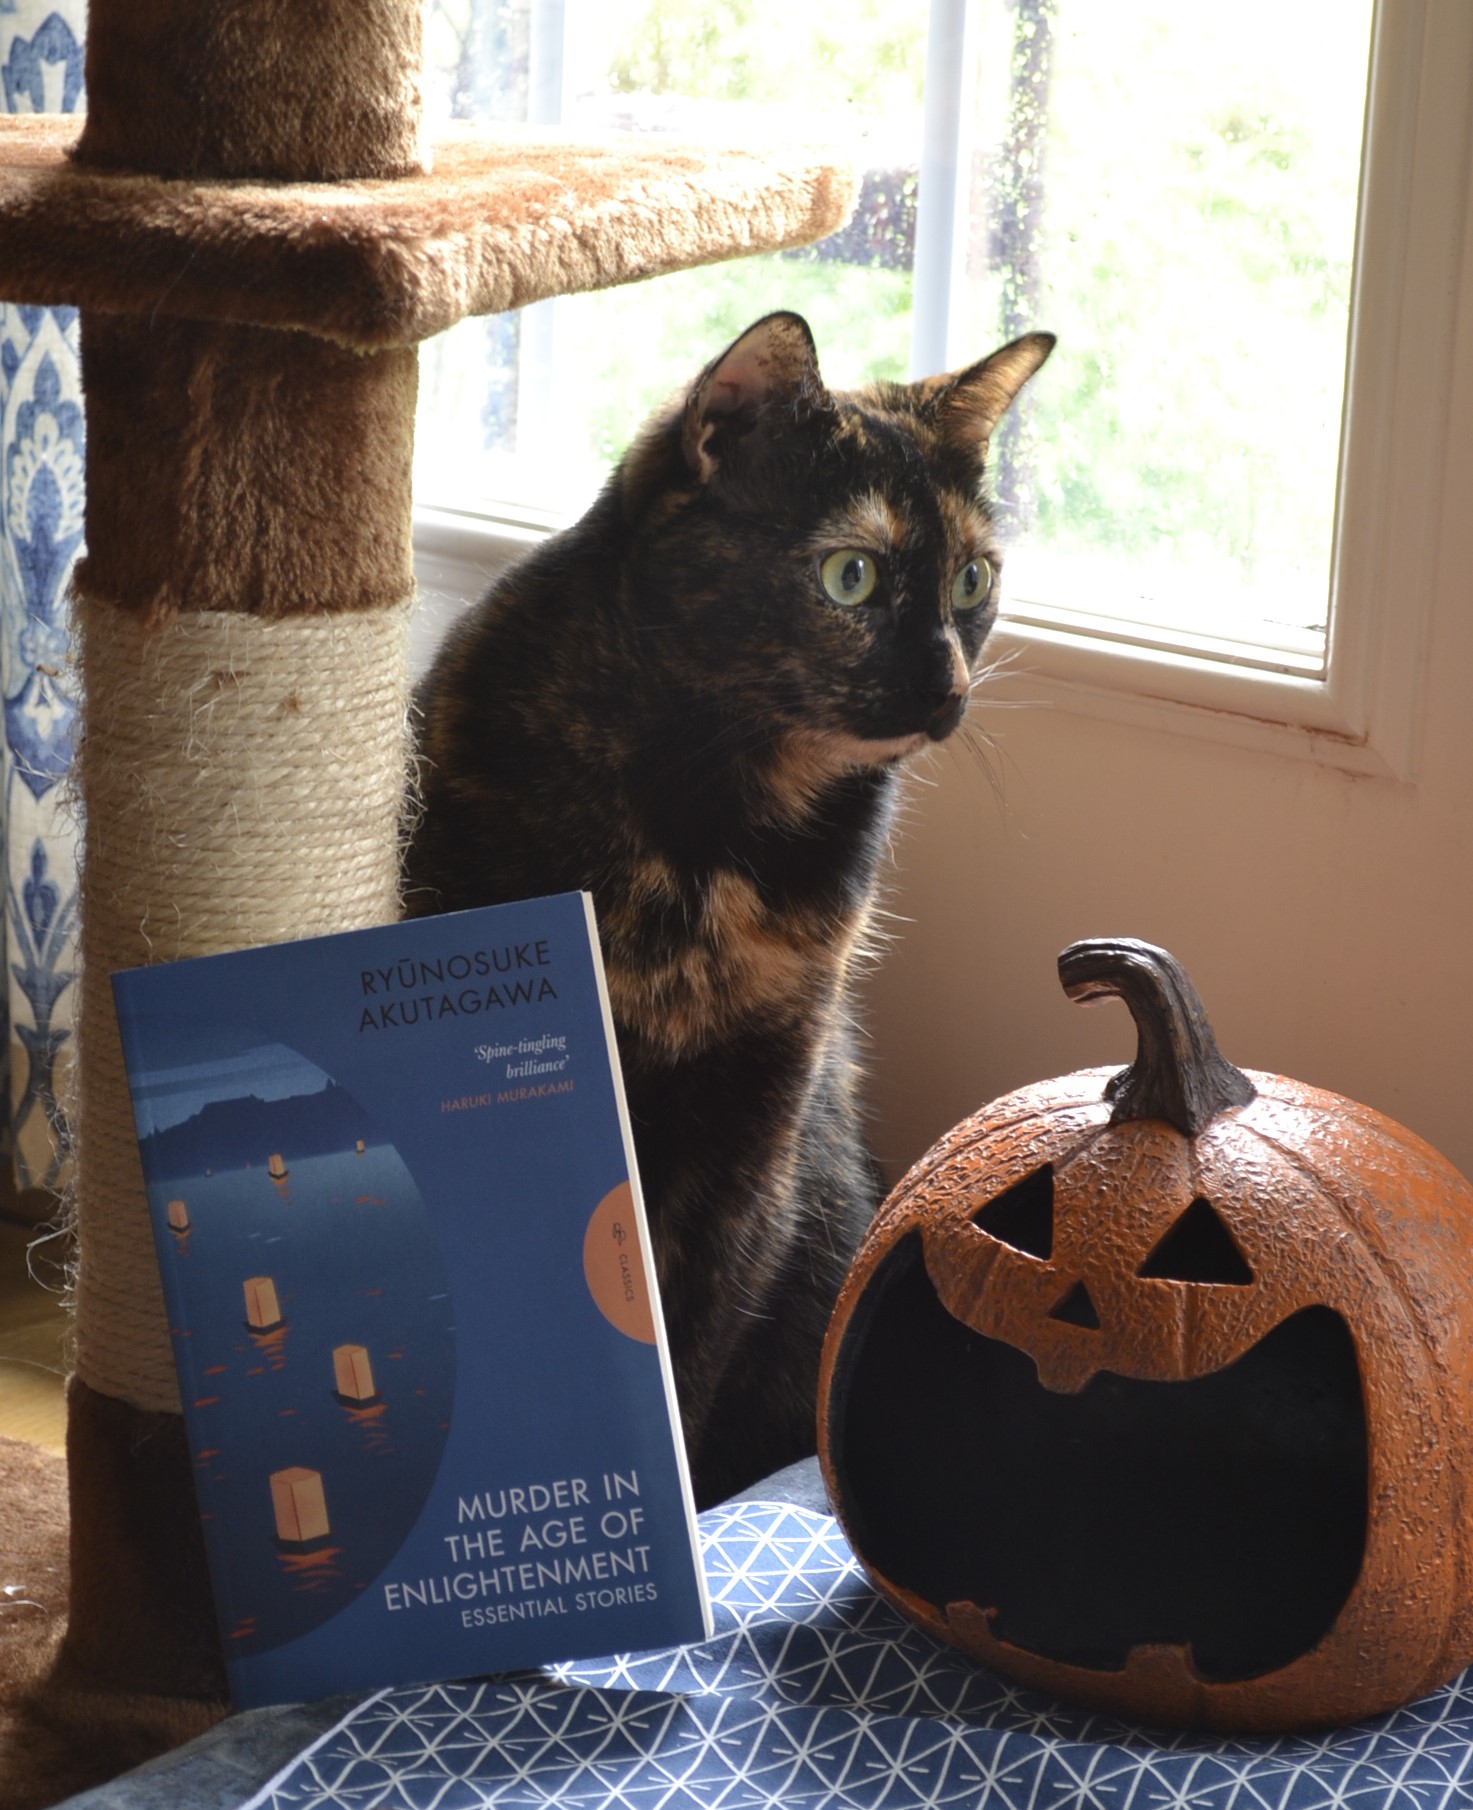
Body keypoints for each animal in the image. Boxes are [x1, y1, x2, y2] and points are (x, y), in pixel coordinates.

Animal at [407, 311, 1049, 1498]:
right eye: (850, 575)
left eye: (973, 580)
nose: (946, 686)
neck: (713, 820)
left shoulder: (755, 1123)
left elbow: (692, 1348)